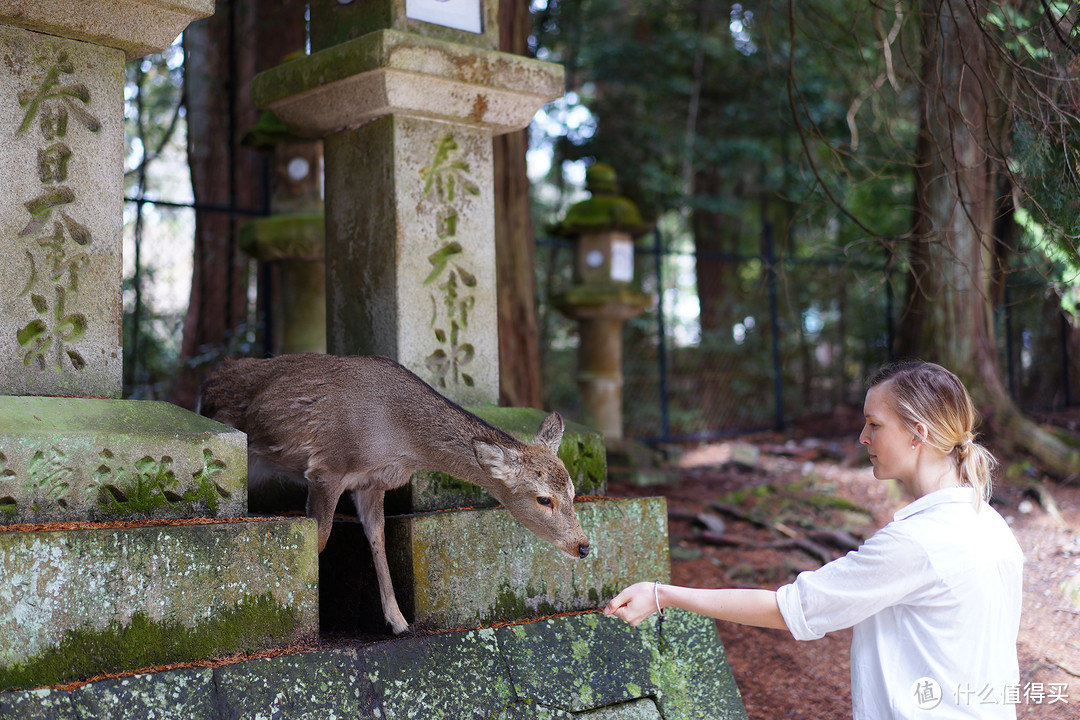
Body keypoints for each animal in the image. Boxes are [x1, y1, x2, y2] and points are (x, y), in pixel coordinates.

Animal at [203, 351, 591, 634]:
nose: (583, 546)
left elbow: (378, 536)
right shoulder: (327, 467)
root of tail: (212, 379)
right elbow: (320, 537)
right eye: (543, 498)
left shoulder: (372, 483)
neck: (401, 439)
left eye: (573, 491)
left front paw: (399, 622)